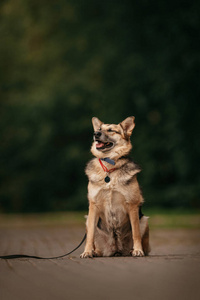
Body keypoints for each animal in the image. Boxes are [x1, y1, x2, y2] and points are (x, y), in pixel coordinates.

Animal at [80, 116, 150, 258]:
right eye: (99, 129)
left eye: (111, 130)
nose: (96, 134)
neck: (110, 166)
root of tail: (116, 249)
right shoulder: (93, 206)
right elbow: (90, 236)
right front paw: (87, 251)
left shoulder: (132, 205)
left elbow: (136, 233)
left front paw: (137, 250)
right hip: (88, 220)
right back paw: (95, 252)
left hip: (144, 220)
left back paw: (133, 250)